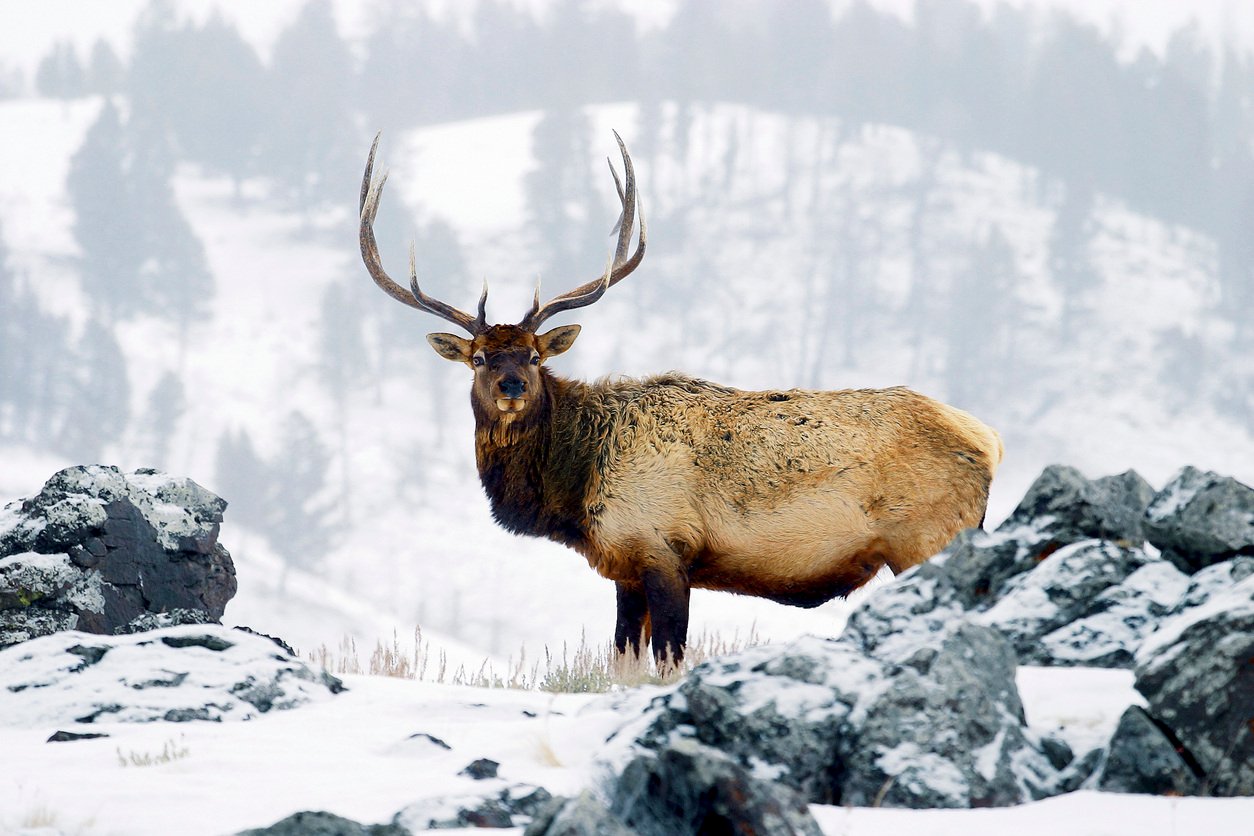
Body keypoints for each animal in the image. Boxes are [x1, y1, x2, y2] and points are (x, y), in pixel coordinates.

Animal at [358, 132, 1003, 666]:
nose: (511, 386)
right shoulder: (624, 567)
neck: (576, 486)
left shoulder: (664, 549)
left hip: (930, 537)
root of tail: (989, 440)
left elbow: (666, 662)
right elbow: (623, 663)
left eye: (536, 357)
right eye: (481, 358)